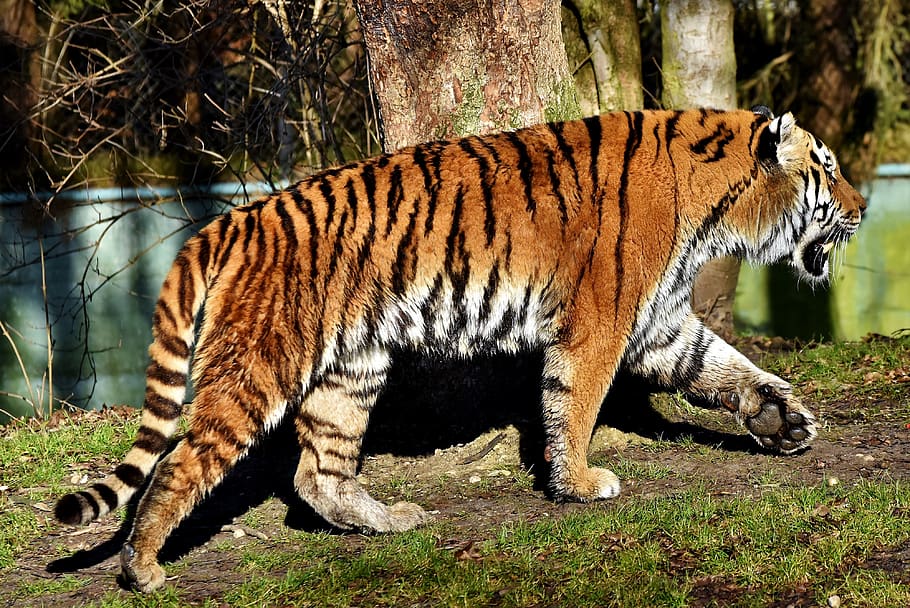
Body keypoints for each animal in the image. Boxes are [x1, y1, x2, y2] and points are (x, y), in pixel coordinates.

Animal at [54, 108, 865, 592]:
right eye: (827, 169)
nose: (860, 209)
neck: (716, 206)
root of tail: (234, 220)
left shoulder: (658, 322)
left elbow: (727, 367)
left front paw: (786, 421)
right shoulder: (600, 323)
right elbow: (574, 404)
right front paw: (579, 484)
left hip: (351, 371)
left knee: (318, 474)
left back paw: (388, 521)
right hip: (261, 364)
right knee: (183, 461)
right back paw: (143, 567)